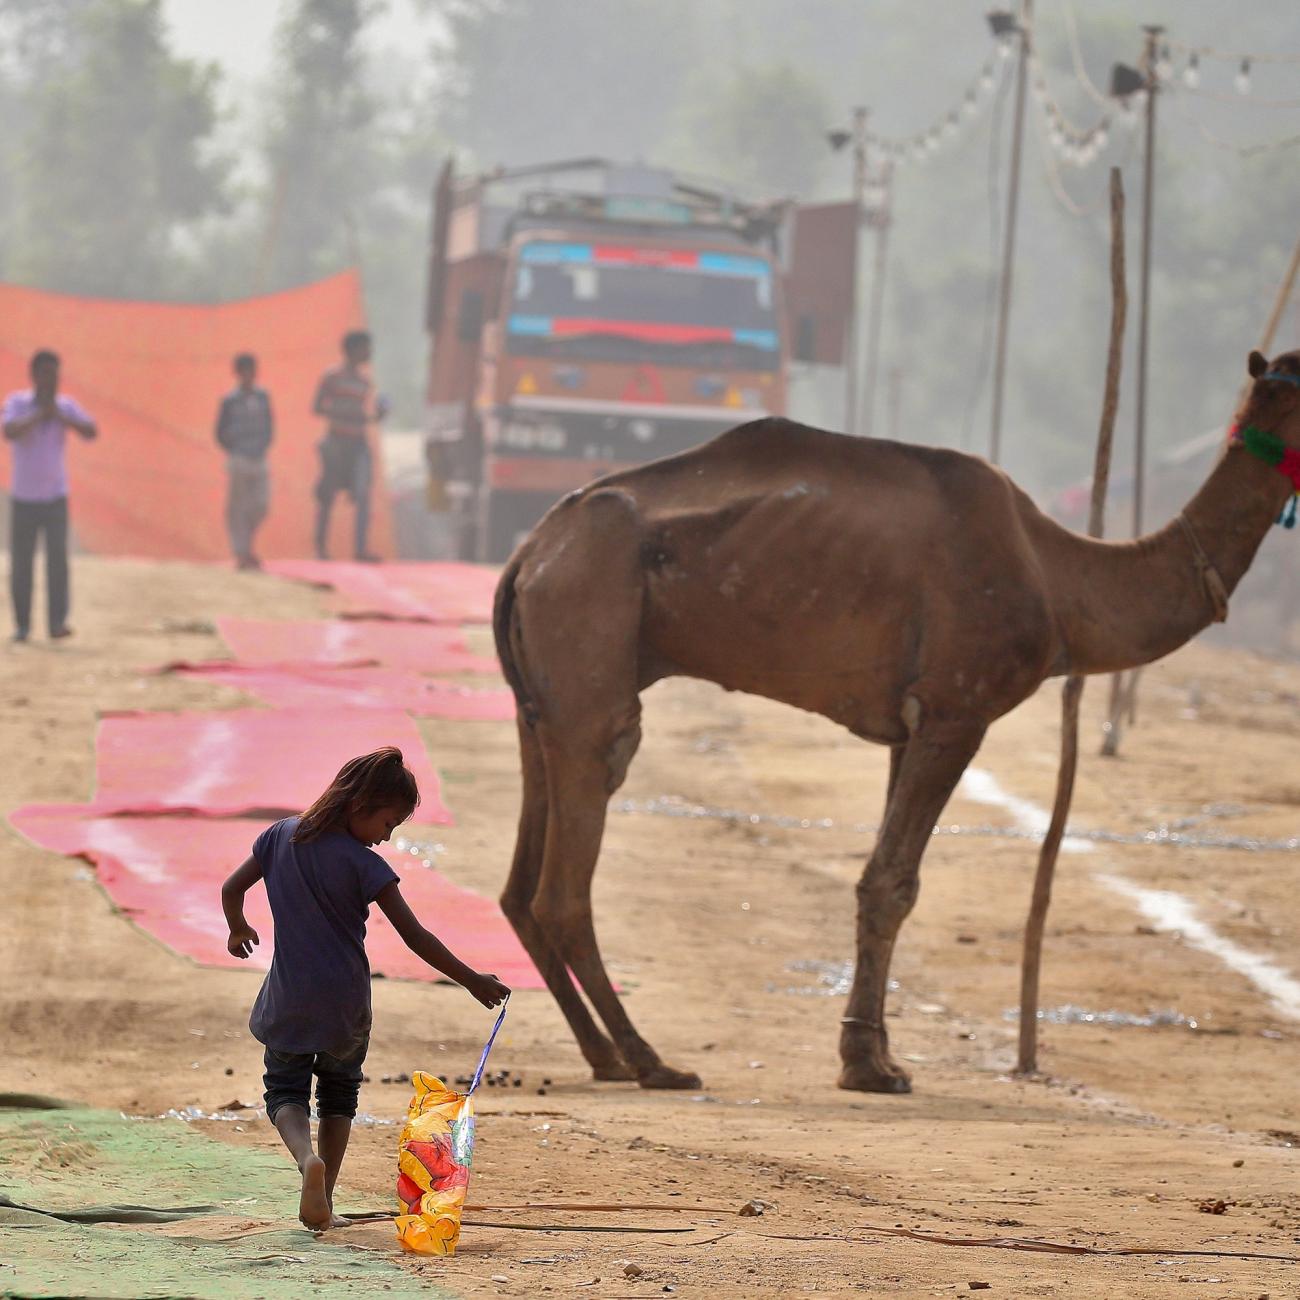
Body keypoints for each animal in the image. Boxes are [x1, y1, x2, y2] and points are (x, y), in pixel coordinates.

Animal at [488, 351, 1300, 1092]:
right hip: (588, 623)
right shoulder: (956, 709)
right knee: (569, 867)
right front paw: (868, 1066)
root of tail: (530, 553)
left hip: (540, 693)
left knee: (520, 885)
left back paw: (602, 1053)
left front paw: (873, 1052)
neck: (1060, 578)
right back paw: (648, 1059)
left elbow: (886, 881)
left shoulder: (906, 728)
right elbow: (893, 883)